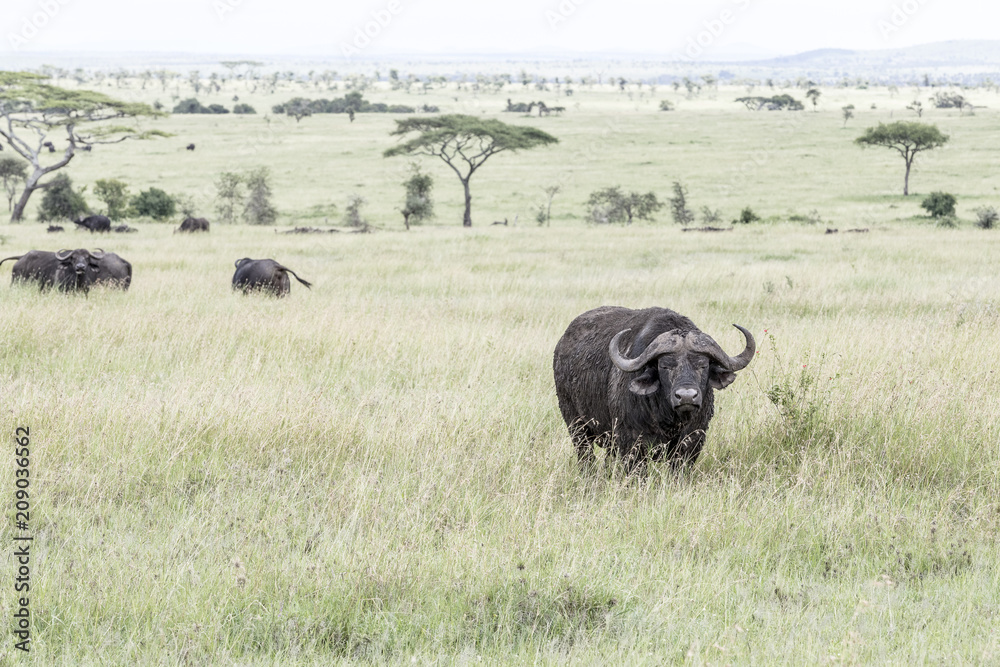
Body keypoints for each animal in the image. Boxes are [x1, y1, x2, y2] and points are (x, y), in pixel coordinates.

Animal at [552, 306, 752, 472]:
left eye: (703, 365)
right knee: (585, 457)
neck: (669, 419)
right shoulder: (630, 443)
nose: (686, 397)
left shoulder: (693, 440)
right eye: (664, 366)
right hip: (575, 425)